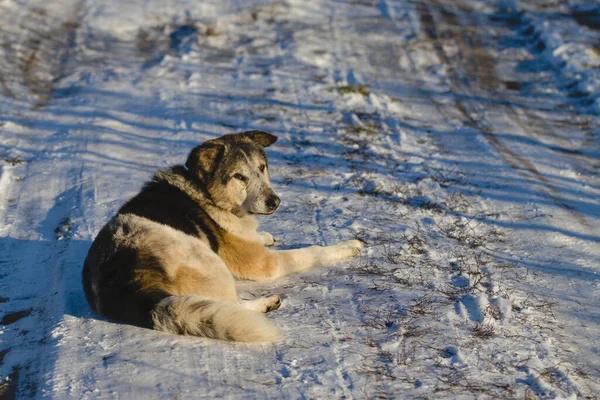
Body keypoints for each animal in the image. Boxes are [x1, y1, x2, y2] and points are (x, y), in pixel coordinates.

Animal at [82, 130, 364, 340]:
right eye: (239, 176)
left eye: (262, 167)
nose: (275, 201)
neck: (206, 192)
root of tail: (128, 288)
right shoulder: (266, 263)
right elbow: (311, 252)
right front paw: (349, 246)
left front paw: (264, 235)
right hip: (207, 260)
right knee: (234, 304)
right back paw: (266, 304)